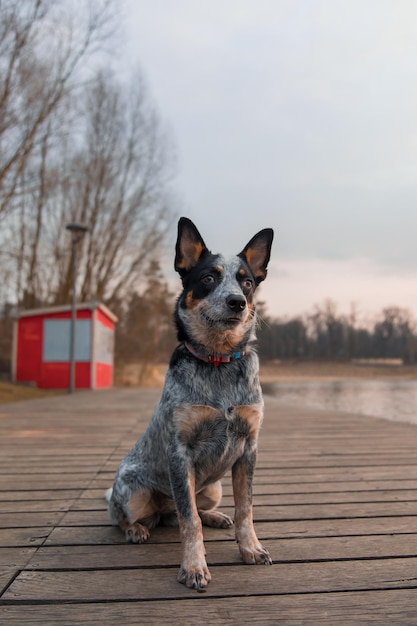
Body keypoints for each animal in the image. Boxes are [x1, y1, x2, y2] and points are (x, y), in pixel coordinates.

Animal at [105, 217, 272, 588]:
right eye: (209, 278)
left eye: (247, 282)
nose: (237, 302)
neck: (218, 361)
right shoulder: (180, 453)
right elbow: (189, 521)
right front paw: (194, 567)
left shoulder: (249, 448)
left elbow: (246, 509)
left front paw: (250, 548)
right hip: (132, 492)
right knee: (131, 515)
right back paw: (135, 529)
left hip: (214, 488)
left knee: (189, 510)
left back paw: (214, 516)